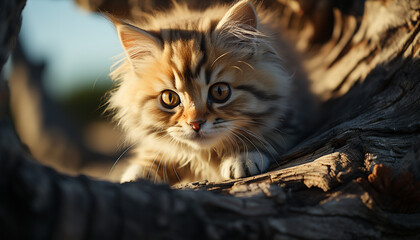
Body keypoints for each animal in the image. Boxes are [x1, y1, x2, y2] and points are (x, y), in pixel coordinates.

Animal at [108, 0, 316, 184]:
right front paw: (137, 172)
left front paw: (242, 156)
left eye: (220, 91)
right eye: (169, 98)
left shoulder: (296, 117)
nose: (195, 124)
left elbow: (268, 134)